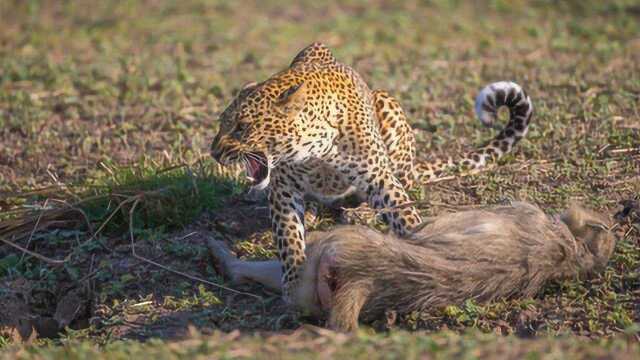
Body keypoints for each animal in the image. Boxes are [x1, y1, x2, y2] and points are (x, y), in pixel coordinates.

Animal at [211, 40, 536, 302]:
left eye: (242, 127)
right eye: (223, 123)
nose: (214, 152)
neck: (314, 150)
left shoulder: (379, 178)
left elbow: (405, 215)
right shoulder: (283, 189)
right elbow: (289, 238)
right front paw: (293, 285)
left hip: (388, 106)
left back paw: (361, 212)